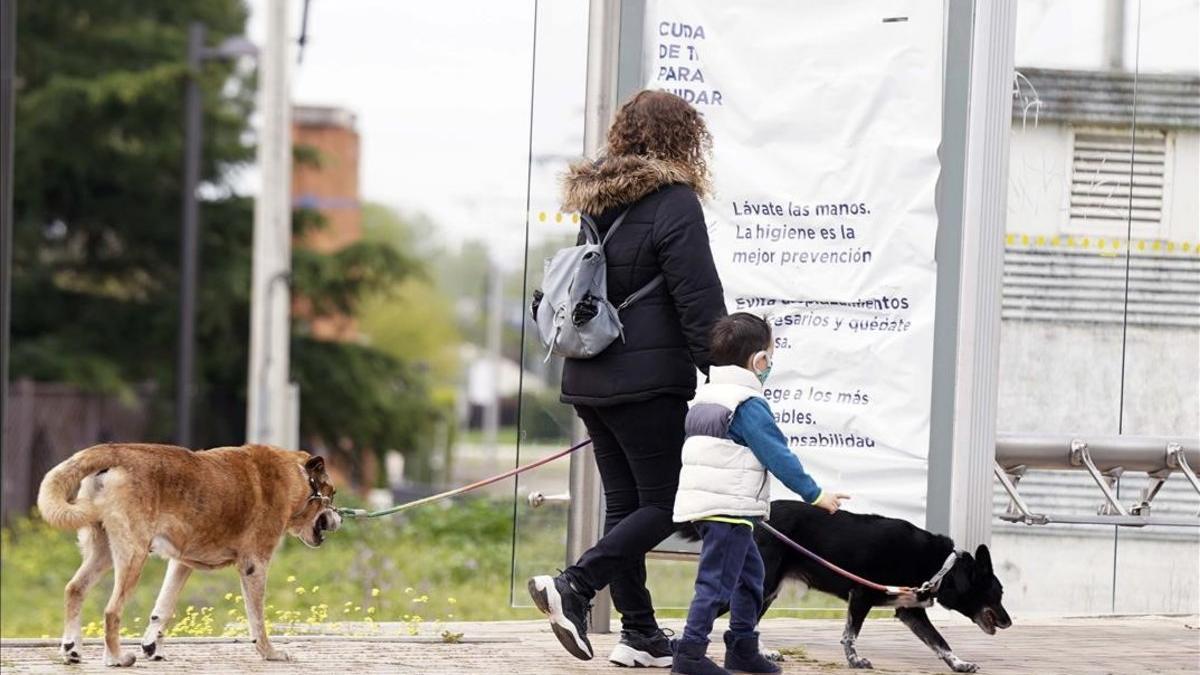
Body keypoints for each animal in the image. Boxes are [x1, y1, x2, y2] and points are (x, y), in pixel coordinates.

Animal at [39, 439, 340, 662]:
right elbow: (257, 617)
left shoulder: (181, 563)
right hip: (133, 555)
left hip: (102, 552)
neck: (296, 478)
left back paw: (72, 650)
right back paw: (115, 659)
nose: (339, 518)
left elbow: (163, 608)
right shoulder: (255, 566)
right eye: (332, 493)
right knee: (112, 610)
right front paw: (269, 653)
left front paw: (152, 648)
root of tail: (115, 451)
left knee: (75, 589)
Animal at [753, 497, 1008, 667]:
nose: (1009, 622)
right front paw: (855, 661)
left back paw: (763, 653)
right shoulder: (861, 596)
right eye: (998, 594)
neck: (941, 567)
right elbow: (850, 636)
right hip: (765, 584)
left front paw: (959, 664)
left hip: (769, 590)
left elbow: (939, 641)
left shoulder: (910, 612)